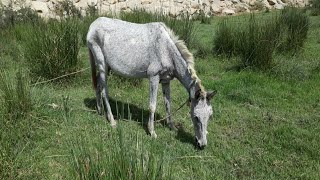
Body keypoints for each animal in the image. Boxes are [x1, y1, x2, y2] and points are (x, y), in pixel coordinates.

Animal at [86, 17, 216, 148]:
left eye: (210, 116)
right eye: (196, 117)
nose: (202, 145)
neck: (166, 50)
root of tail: (93, 24)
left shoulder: (166, 81)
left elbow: (168, 104)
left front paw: (172, 127)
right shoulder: (154, 77)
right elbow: (152, 106)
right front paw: (152, 132)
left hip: (107, 67)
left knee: (98, 86)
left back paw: (100, 111)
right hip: (102, 64)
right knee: (104, 92)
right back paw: (112, 121)